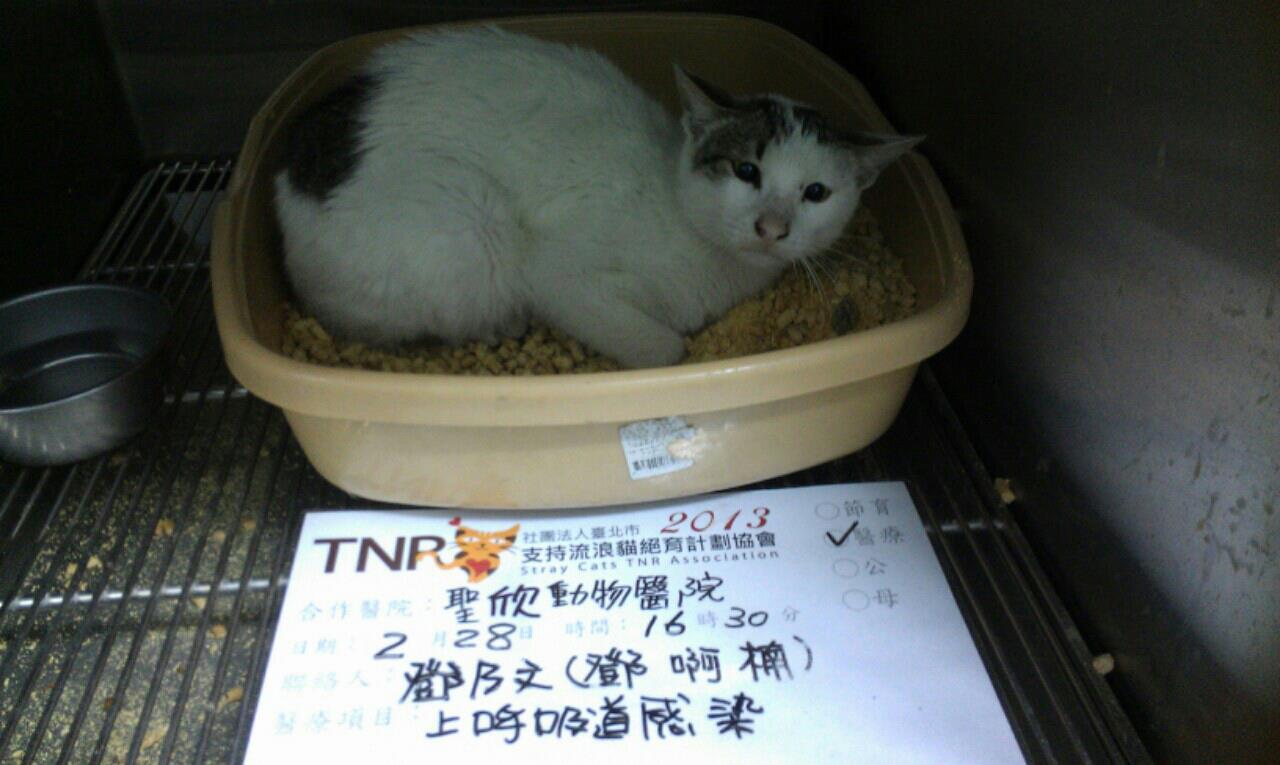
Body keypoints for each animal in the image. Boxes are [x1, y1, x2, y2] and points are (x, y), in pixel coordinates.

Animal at [275, 26, 921, 368]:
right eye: (746, 171)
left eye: (816, 193)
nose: (772, 228)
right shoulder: (561, 276)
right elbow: (664, 347)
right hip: (473, 224)